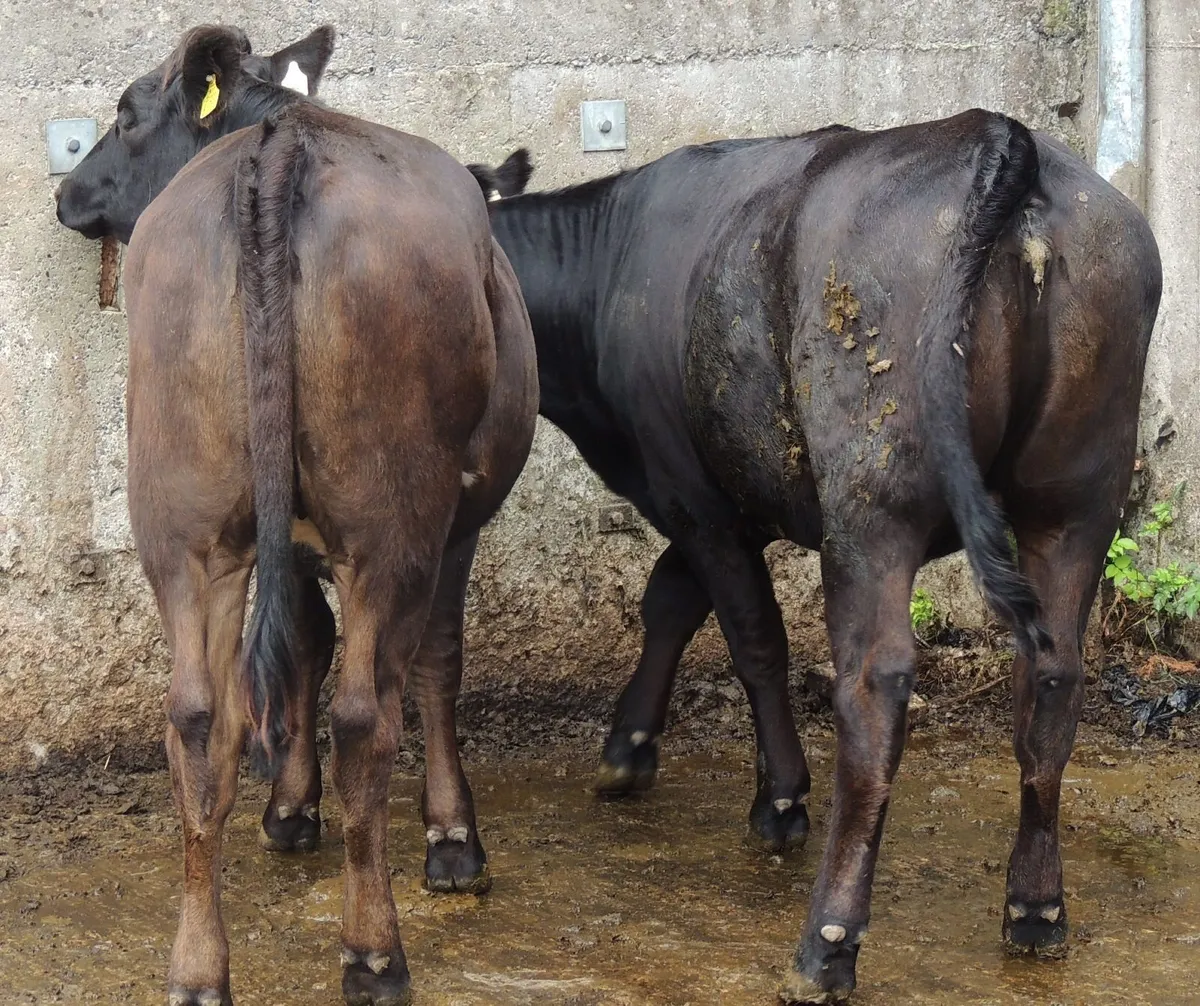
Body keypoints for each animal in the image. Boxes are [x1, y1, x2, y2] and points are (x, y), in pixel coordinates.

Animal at [55, 24, 538, 1006]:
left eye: (124, 112)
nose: (64, 192)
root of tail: (285, 144)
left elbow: (304, 648)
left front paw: (288, 808)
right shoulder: (447, 526)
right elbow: (429, 661)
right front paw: (452, 837)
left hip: (184, 525)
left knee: (199, 719)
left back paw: (198, 967)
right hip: (391, 521)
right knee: (365, 714)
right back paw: (374, 949)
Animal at [474, 112, 1161, 1002]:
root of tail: (997, 137)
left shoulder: (692, 491)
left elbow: (751, 640)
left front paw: (779, 801)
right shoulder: (727, 494)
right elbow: (671, 599)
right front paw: (629, 748)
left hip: (871, 507)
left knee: (875, 685)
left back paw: (827, 941)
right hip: (1076, 502)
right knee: (1052, 678)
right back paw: (1036, 909)